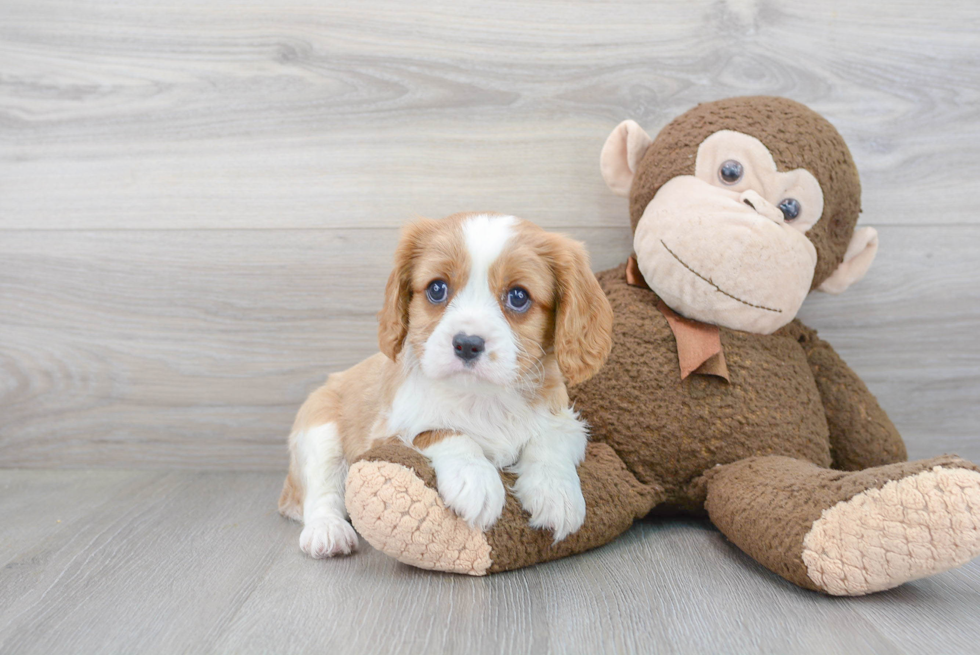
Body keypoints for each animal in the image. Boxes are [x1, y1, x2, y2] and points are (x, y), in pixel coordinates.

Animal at [278, 214, 612, 560]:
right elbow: (444, 431)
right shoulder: (387, 434)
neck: (483, 398)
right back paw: (327, 530)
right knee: (320, 491)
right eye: (437, 289)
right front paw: (475, 479)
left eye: (518, 296)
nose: (467, 344)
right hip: (320, 430)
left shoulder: (567, 421)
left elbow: (550, 441)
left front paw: (557, 493)